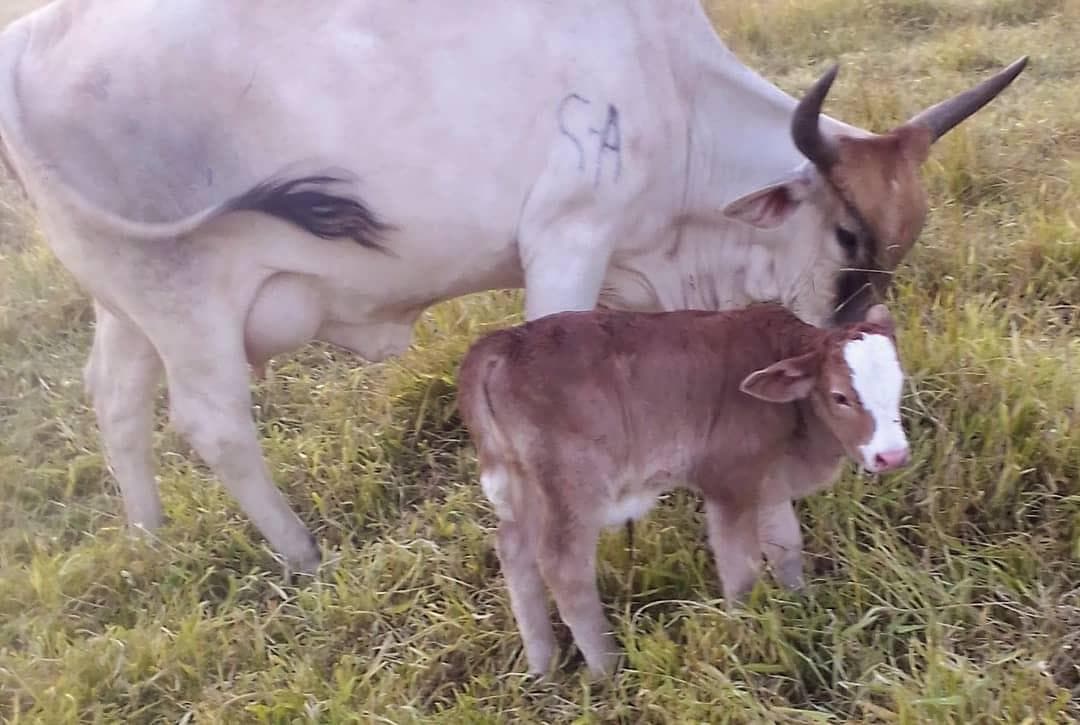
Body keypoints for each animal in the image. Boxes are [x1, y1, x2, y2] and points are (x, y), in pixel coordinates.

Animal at [0, 0, 1024, 574]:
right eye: (848, 233)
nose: (859, 336)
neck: (672, 90)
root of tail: (25, 37)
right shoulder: (570, 233)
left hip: (124, 301)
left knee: (115, 401)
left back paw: (150, 544)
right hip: (183, 295)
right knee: (212, 421)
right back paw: (303, 557)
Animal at [456, 302, 910, 677]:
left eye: (899, 386)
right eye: (840, 396)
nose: (893, 456)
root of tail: (502, 343)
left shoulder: (768, 480)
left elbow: (786, 545)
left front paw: (801, 603)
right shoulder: (728, 481)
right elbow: (741, 568)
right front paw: (744, 633)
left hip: (524, 485)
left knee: (514, 550)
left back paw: (542, 666)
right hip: (573, 486)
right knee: (562, 565)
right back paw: (607, 669)